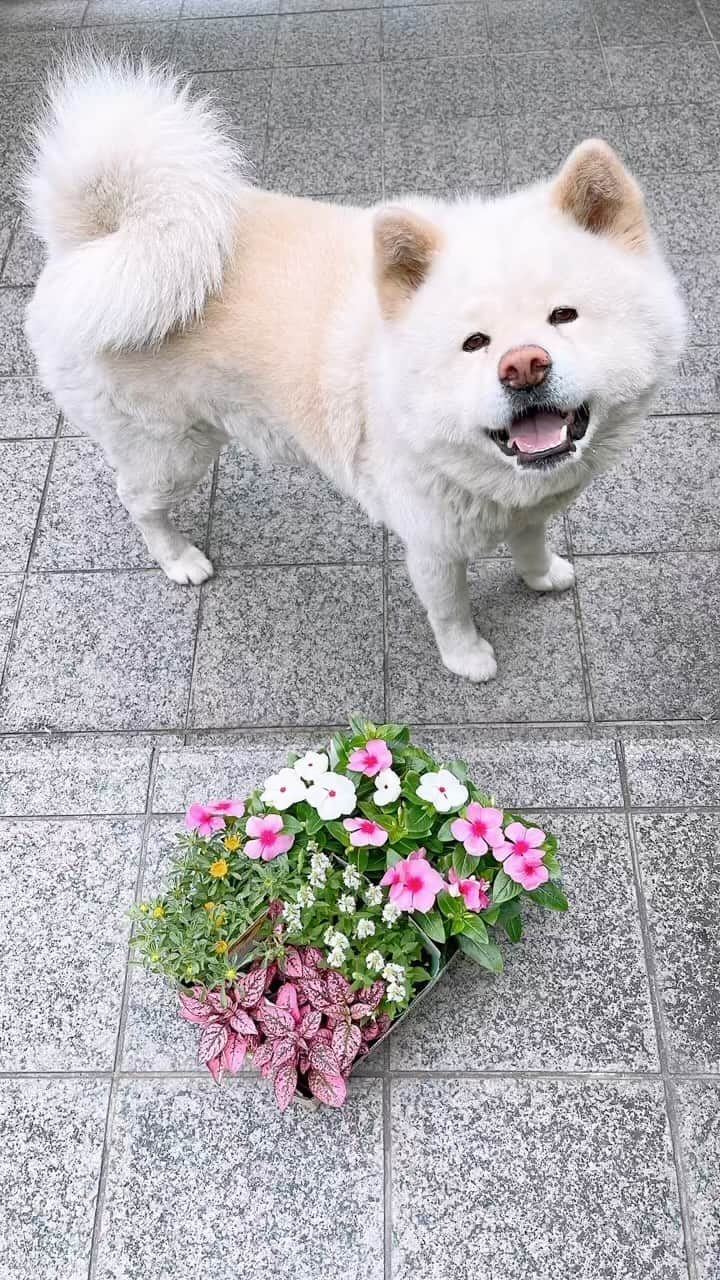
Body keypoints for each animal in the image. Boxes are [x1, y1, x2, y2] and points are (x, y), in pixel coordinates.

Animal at [22, 60, 681, 680]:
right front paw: (467, 660)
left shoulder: (528, 507)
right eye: (474, 343)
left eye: (564, 315)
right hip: (170, 451)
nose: (523, 365)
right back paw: (179, 559)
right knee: (139, 502)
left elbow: (531, 544)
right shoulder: (432, 546)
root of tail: (94, 242)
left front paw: (542, 576)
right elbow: (451, 613)